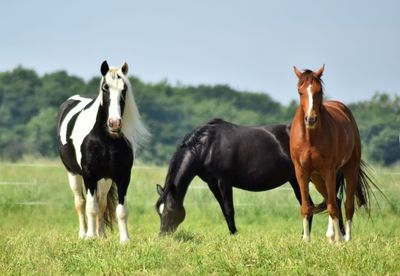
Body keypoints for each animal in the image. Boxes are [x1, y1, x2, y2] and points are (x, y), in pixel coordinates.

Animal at [56, 61, 148, 244]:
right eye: (105, 88)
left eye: (124, 89)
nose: (114, 123)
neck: (105, 139)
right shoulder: (89, 175)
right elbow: (91, 207)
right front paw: (90, 237)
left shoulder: (122, 176)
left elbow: (121, 210)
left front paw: (124, 240)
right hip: (73, 174)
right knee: (80, 202)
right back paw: (84, 234)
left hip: (105, 179)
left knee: (103, 203)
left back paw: (101, 235)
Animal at [155, 118, 344, 235]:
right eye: (159, 211)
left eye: (170, 209)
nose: (163, 235)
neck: (207, 146)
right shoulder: (213, 184)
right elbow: (224, 211)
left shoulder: (224, 182)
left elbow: (229, 210)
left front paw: (235, 235)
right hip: (297, 181)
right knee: (314, 205)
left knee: (331, 202)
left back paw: (341, 235)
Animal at [290, 66, 376, 243]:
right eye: (300, 92)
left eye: (319, 91)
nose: (311, 119)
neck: (310, 137)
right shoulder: (301, 172)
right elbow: (306, 207)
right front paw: (306, 241)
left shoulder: (329, 170)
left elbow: (333, 207)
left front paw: (338, 240)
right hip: (317, 178)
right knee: (334, 199)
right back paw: (333, 236)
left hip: (349, 169)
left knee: (346, 204)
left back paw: (345, 238)